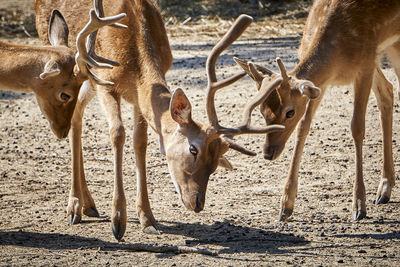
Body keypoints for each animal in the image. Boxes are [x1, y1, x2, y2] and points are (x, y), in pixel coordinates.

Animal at [35, 0, 284, 241]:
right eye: (193, 149)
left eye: (215, 163)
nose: (197, 204)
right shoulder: (105, 82)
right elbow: (118, 133)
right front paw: (118, 222)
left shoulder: (138, 97)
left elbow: (140, 142)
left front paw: (148, 219)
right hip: (74, 67)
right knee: (76, 116)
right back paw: (74, 207)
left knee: (76, 115)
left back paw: (89, 205)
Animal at [234, 0, 400, 222]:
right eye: (262, 110)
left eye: (289, 112)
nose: (268, 153)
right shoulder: (322, 83)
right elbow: (304, 127)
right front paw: (286, 206)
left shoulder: (364, 65)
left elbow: (357, 127)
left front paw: (358, 206)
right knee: (387, 92)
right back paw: (385, 189)